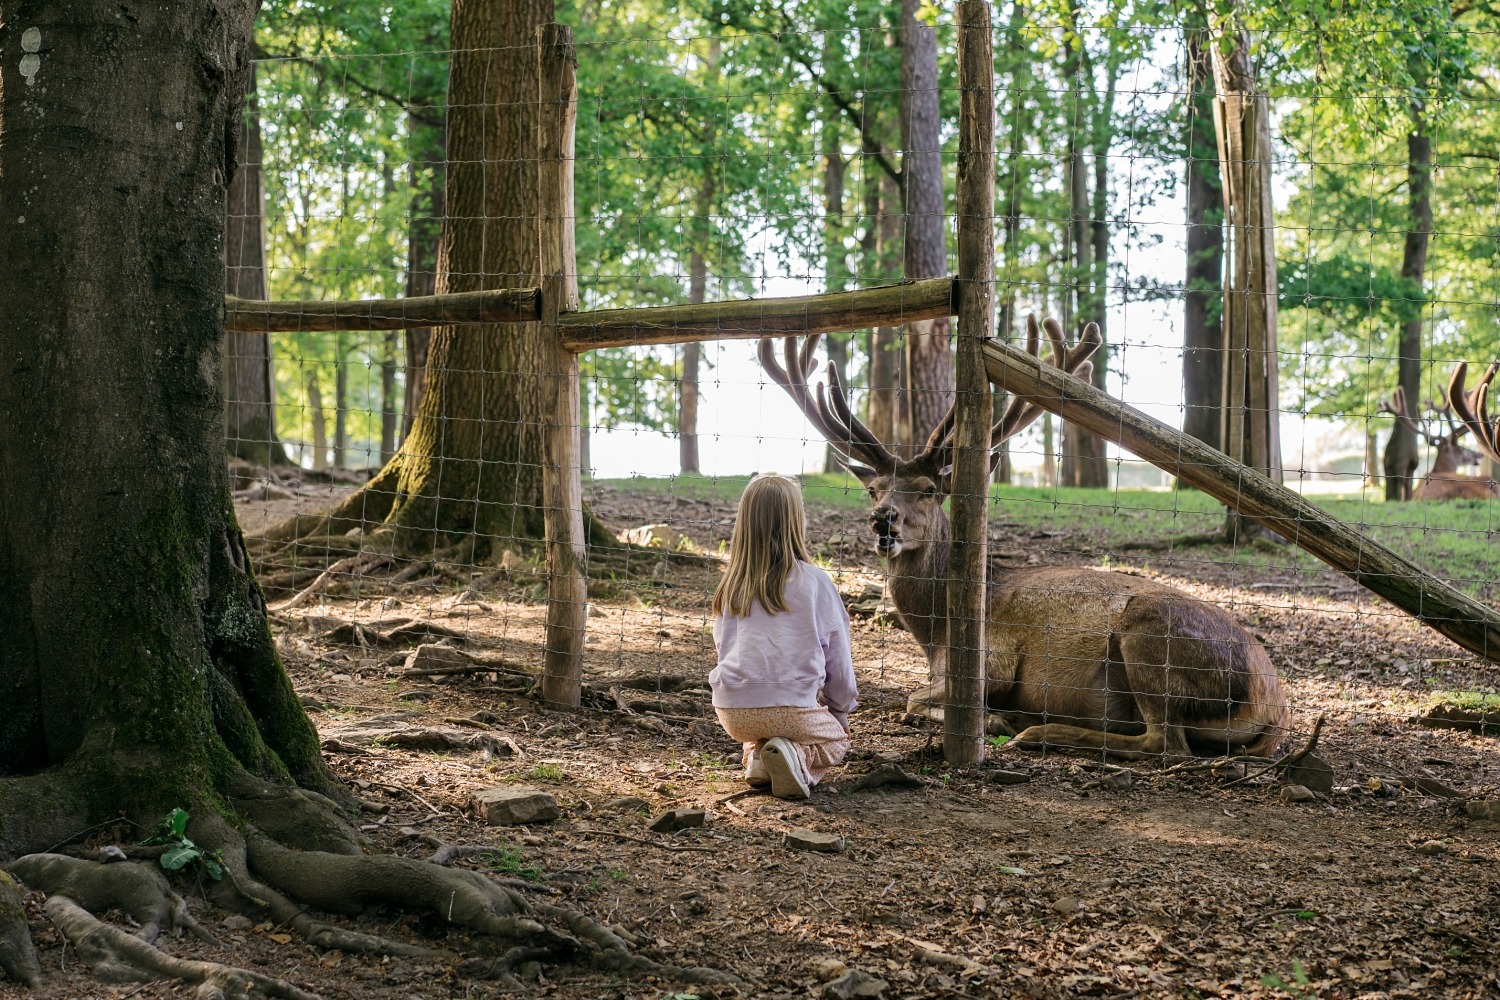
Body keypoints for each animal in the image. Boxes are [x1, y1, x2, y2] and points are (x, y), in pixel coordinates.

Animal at [762, 314, 1290, 758]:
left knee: (1167, 743)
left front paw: (993, 718)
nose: (882, 520)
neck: (935, 635)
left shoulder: (989, 660)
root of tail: (1271, 703)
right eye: (873, 489)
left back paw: (1037, 731)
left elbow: (912, 699)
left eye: (930, 490)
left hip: (1148, 635)